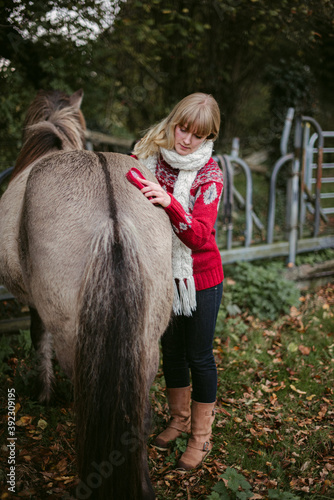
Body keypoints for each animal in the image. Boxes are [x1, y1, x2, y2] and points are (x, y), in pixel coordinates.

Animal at [0, 90, 172, 500]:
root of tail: (111, 215)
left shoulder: (37, 305)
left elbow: (38, 337)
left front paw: (44, 394)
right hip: (146, 342)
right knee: (138, 417)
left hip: (74, 338)